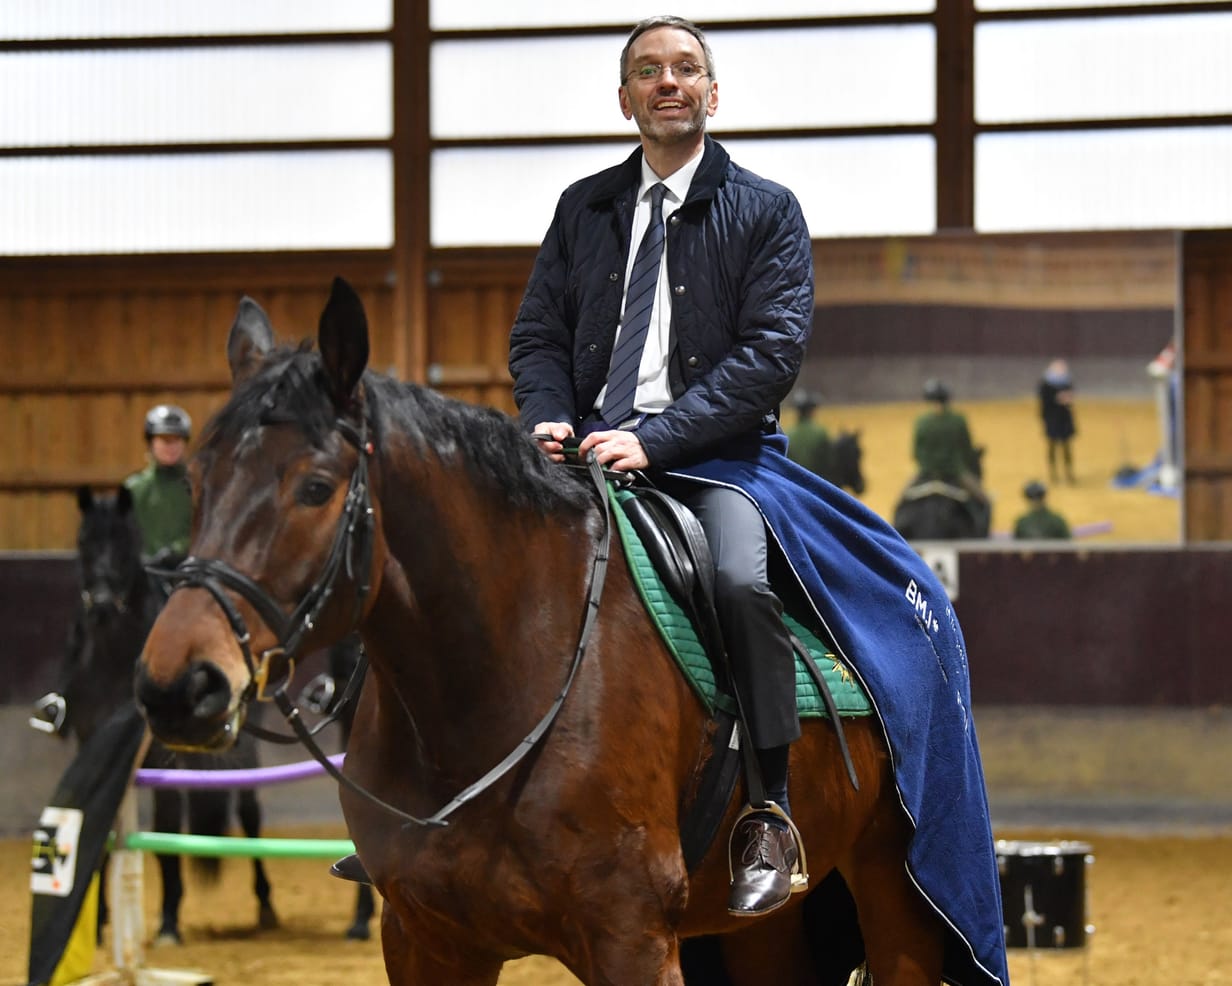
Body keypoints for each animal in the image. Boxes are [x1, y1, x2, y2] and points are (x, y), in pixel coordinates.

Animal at [42, 488, 277, 941]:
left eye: (124, 544)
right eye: (83, 542)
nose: (101, 608)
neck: (112, 655)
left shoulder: (158, 753)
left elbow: (167, 822)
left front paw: (168, 919)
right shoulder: (90, 742)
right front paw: (100, 918)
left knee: (250, 813)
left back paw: (266, 905)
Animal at [132, 279, 941, 985]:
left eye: (315, 488)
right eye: (197, 483)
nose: (178, 686)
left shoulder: (631, 941)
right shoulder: (426, 942)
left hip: (893, 891)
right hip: (760, 934)